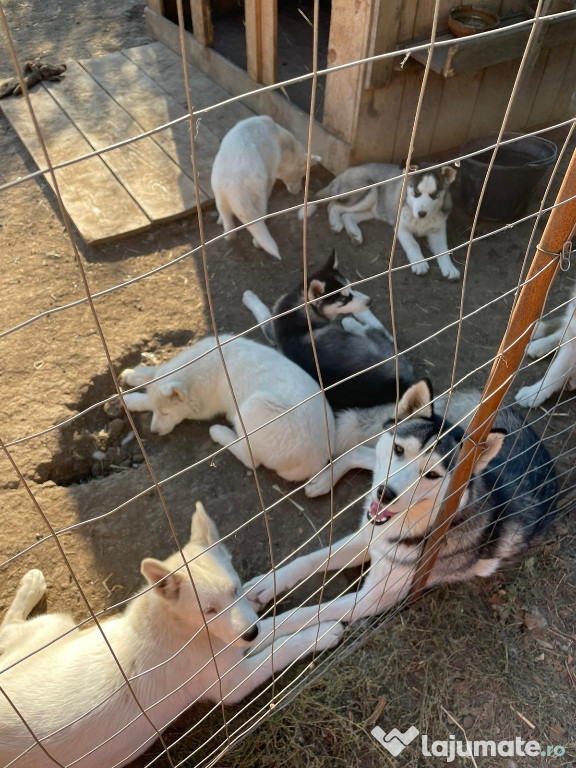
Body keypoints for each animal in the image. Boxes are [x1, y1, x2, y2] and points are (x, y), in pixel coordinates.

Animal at [0, 504, 342, 768]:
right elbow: (282, 645)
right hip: (59, 624)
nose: (250, 633)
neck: (181, 626)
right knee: (8, 628)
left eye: (236, 589)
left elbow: (284, 620)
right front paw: (324, 632)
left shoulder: (233, 641)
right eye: (209, 610)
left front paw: (332, 612)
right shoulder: (232, 683)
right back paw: (31, 586)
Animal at [124, 334, 336, 484]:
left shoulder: (203, 408)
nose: (153, 432)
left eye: (166, 414)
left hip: (254, 406)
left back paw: (220, 432)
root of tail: (319, 459)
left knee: (250, 459)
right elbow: (152, 374)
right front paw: (132, 375)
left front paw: (131, 399)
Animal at [210, 112, 320, 260]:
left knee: (228, 224)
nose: (299, 191)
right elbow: (270, 187)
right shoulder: (270, 174)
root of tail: (235, 187)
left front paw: (220, 220)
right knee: (258, 220)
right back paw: (258, 242)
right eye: (302, 174)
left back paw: (227, 231)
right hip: (257, 199)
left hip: (220, 196)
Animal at [242, 250, 414, 414]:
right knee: (379, 331)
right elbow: (264, 317)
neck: (302, 309)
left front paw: (249, 297)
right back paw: (355, 320)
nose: (369, 301)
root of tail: (403, 382)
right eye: (344, 299)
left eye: (352, 288)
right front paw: (250, 298)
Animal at [244, 380, 560, 632]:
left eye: (432, 474)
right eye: (399, 449)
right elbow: (308, 560)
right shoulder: (369, 536)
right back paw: (324, 479)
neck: (413, 526)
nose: (385, 494)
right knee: (362, 453)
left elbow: (307, 612)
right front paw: (266, 585)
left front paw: (262, 634)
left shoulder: (371, 598)